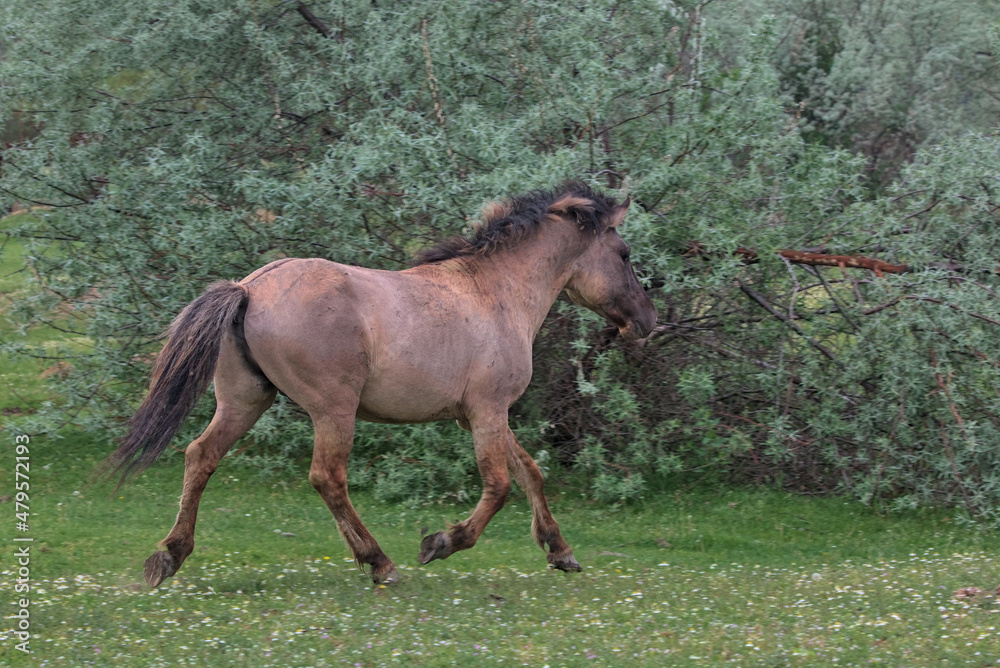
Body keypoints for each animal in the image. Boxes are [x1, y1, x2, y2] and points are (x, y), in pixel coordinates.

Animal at [106, 181, 657, 588]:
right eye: (625, 254)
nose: (647, 321)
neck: (494, 293)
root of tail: (248, 288)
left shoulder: (480, 416)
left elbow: (531, 474)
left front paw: (561, 552)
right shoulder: (487, 410)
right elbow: (500, 486)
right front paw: (440, 542)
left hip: (244, 400)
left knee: (200, 456)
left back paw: (169, 556)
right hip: (332, 409)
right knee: (327, 477)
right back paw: (380, 563)